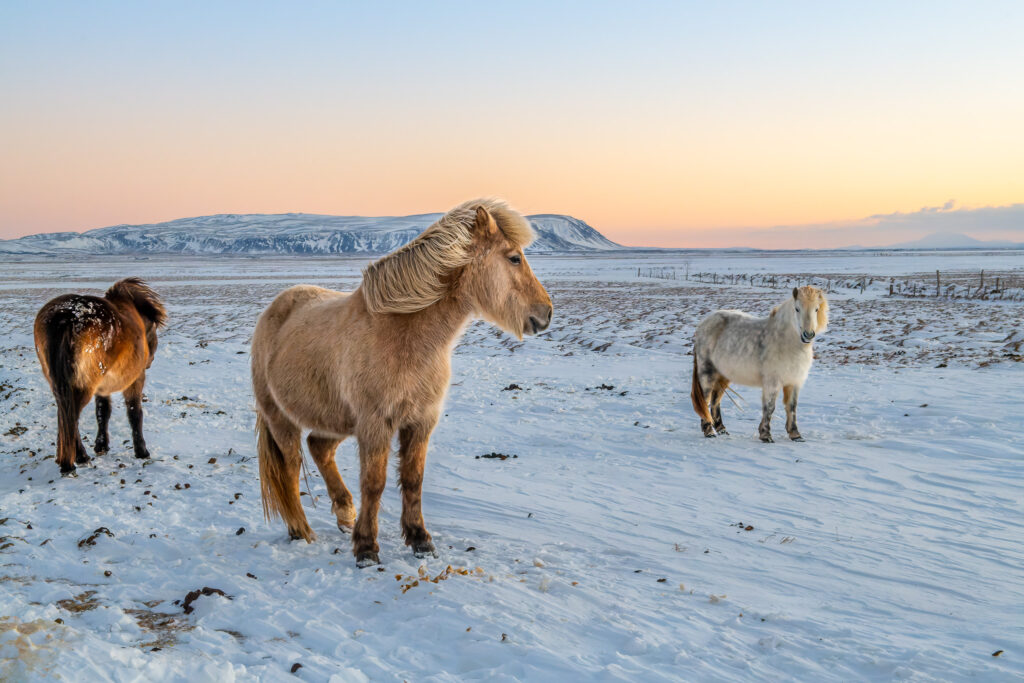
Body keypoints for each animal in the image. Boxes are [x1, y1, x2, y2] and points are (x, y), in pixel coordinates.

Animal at [34, 278, 167, 474]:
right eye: (153, 330)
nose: (150, 360)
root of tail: (67, 317)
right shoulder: (136, 380)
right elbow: (135, 413)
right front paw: (141, 451)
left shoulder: (102, 388)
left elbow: (102, 412)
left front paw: (101, 446)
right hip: (82, 386)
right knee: (71, 417)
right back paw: (75, 460)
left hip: (60, 382)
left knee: (65, 415)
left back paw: (72, 458)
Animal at [251, 198, 553, 566]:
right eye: (514, 257)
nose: (546, 313)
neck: (407, 337)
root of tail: (274, 310)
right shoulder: (375, 424)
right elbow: (375, 482)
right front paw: (367, 548)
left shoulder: (421, 421)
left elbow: (413, 480)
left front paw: (420, 539)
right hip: (282, 419)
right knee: (292, 468)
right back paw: (301, 531)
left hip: (336, 419)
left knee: (319, 448)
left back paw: (345, 514)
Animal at [691, 286, 828, 442]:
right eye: (797, 308)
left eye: (816, 309)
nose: (808, 335)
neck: (785, 341)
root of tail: (703, 324)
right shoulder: (772, 382)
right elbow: (769, 407)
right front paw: (766, 435)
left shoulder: (794, 382)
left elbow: (792, 407)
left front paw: (795, 435)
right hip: (707, 373)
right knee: (706, 400)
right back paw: (709, 431)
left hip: (723, 375)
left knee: (715, 401)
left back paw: (722, 429)